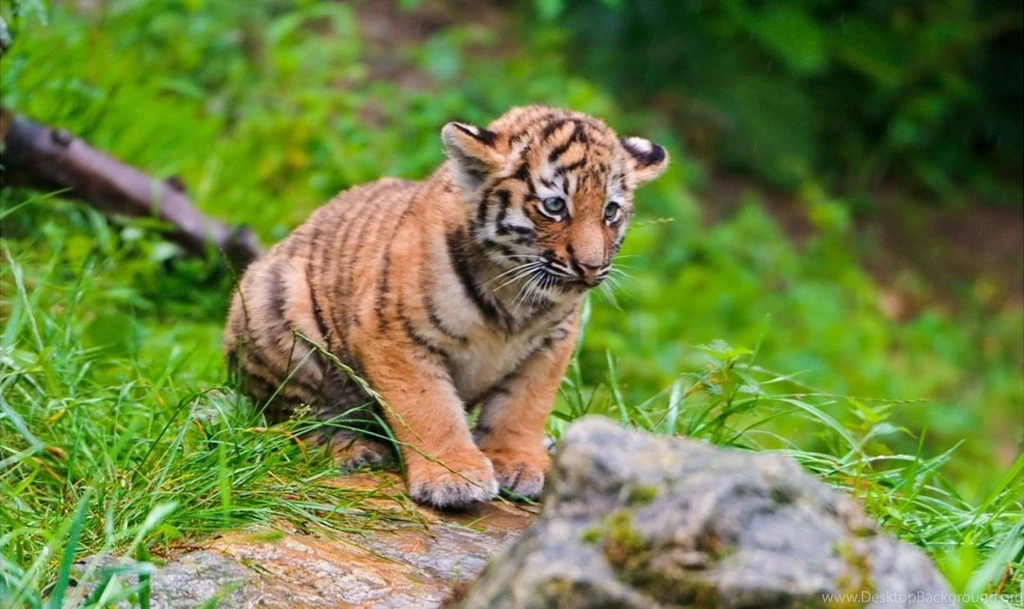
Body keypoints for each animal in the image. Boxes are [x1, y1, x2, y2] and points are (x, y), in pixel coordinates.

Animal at [223, 105, 668, 509]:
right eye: (555, 205)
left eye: (610, 211)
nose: (591, 267)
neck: (518, 295)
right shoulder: (392, 333)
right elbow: (430, 408)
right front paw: (453, 477)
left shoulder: (551, 344)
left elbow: (523, 406)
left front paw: (519, 462)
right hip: (277, 308)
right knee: (291, 415)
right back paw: (353, 448)